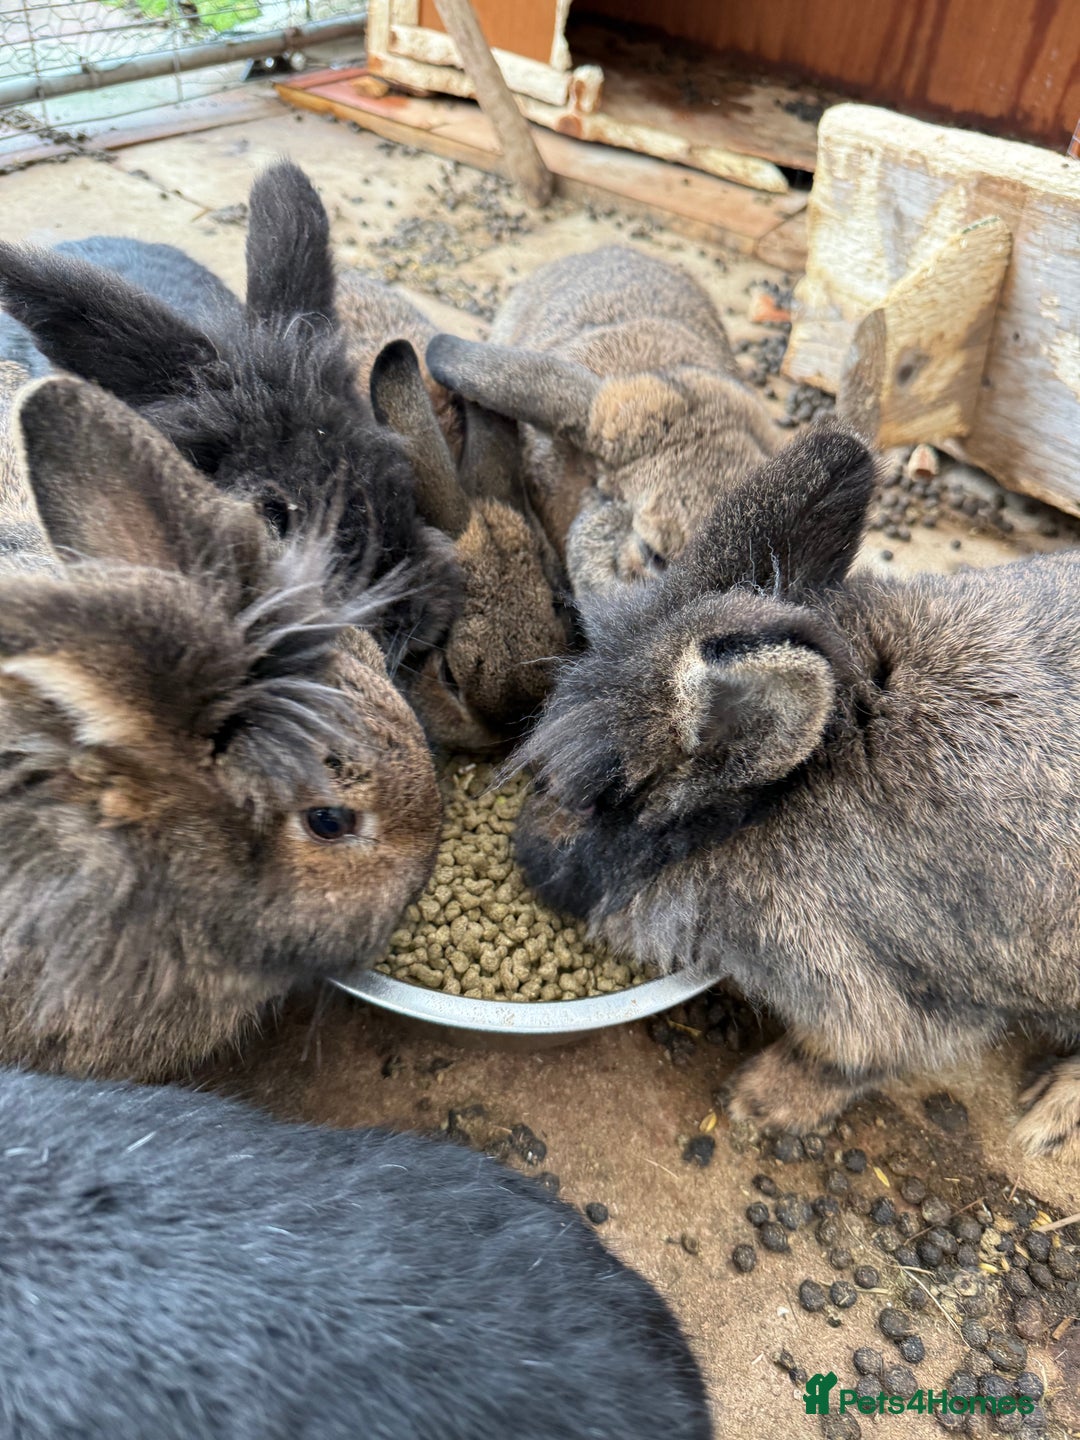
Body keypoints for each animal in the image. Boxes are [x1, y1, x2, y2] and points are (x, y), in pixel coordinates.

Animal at [511, 421, 1080, 1159]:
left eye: (591, 802)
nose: (522, 849)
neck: (775, 802)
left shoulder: (909, 995)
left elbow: (851, 1059)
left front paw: (757, 1102)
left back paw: (1048, 1117)